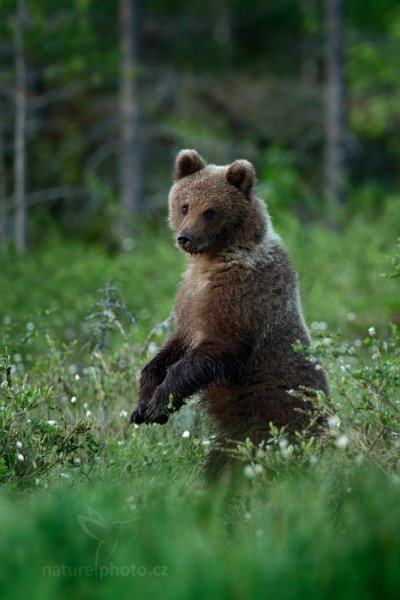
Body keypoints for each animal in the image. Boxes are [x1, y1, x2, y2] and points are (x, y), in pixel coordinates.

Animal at [130, 149, 328, 478]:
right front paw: (142, 402)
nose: (185, 237)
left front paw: (161, 403)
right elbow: (173, 347)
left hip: (269, 419)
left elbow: (216, 349)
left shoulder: (242, 298)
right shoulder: (190, 301)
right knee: (221, 461)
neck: (213, 261)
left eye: (210, 211)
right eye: (184, 205)